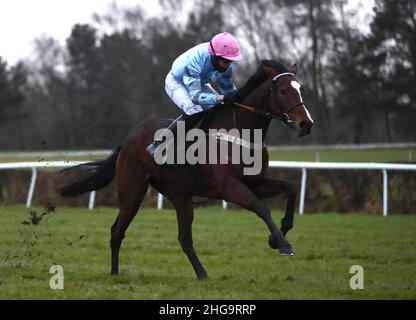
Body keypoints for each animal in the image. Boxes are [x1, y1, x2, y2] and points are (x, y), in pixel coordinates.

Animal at [60, 60, 314, 280]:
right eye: (283, 90)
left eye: (301, 89)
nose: (306, 124)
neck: (241, 131)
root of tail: (129, 138)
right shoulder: (229, 187)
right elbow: (261, 207)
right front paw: (282, 243)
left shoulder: (255, 181)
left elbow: (290, 187)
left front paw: (280, 233)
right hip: (132, 191)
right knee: (116, 230)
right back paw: (114, 273)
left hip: (179, 195)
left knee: (184, 238)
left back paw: (202, 273)